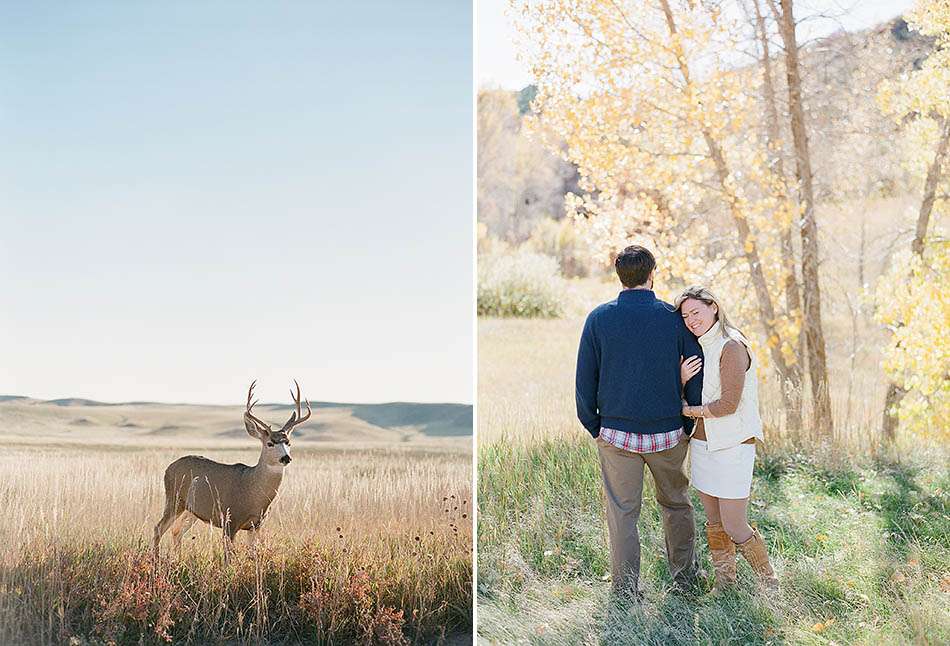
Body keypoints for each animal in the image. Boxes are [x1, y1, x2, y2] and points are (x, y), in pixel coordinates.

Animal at [151, 382, 310, 560]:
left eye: (288, 442)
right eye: (270, 443)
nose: (285, 458)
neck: (252, 491)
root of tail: (168, 468)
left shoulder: (256, 525)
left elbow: (252, 554)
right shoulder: (230, 520)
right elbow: (229, 557)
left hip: (191, 510)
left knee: (176, 531)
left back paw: (177, 560)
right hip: (174, 499)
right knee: (159, 528)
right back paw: (156, 559)